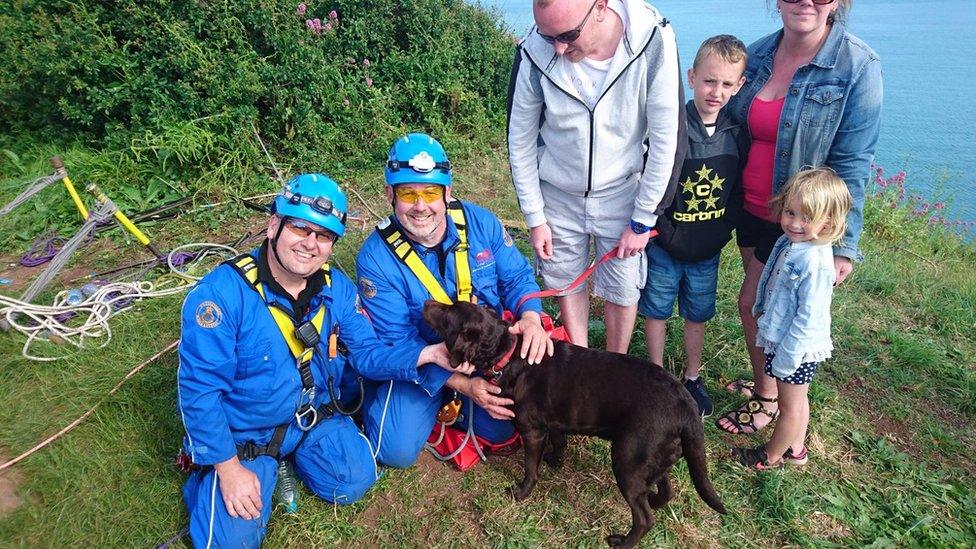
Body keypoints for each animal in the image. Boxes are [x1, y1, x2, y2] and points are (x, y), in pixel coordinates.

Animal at [424, 300, 728, 548]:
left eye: (448, 314)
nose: (426, 303)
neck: (507, 353)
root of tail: (686, 406)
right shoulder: (555, 423)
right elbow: (559, 442)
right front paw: (555, 460)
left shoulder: (532, 432)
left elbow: (530, 469)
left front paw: (521, 492)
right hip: (654, 454)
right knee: (665, 489)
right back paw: (652, 499)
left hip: (627, 459)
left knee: (644, 518)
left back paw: (622, 542)